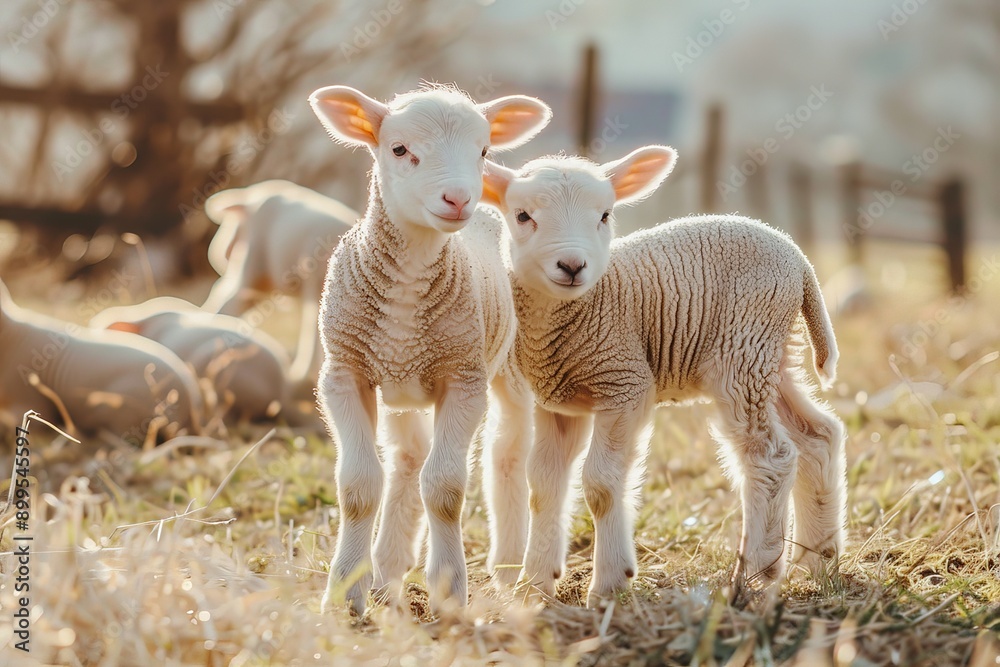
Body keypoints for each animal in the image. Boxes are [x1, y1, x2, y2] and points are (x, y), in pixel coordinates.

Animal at [201, 180, 359, 394]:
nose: (219, 255)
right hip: (254, 260)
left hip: (263, 279)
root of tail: (253, 196)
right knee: (228, 297)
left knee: (225, 292)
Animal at [308, 83, 552, 614]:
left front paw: (447, 590)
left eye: (483, 152)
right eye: (399, 149)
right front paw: (345, 593)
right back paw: (386, 574)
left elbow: (445, 488)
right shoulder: (344, 374)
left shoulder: (462, 377)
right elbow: (359, 486)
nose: (458, 197)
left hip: (507, 367)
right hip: (399, 387)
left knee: (506, 452)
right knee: (406, 461)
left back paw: (507, 568)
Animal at [481, 147, 847, 607]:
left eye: (605, 215)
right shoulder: (560, 402)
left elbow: (601, 484)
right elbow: (543, 486)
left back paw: (758, 571)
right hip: (772, 358)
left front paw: (609, 584)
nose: (572, 265)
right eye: (523, 215)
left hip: (743, 351)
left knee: (771, 456)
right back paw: (818, 559)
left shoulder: (625, 382)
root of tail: (800, 262)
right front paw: (534, 586)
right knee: (818, 437)